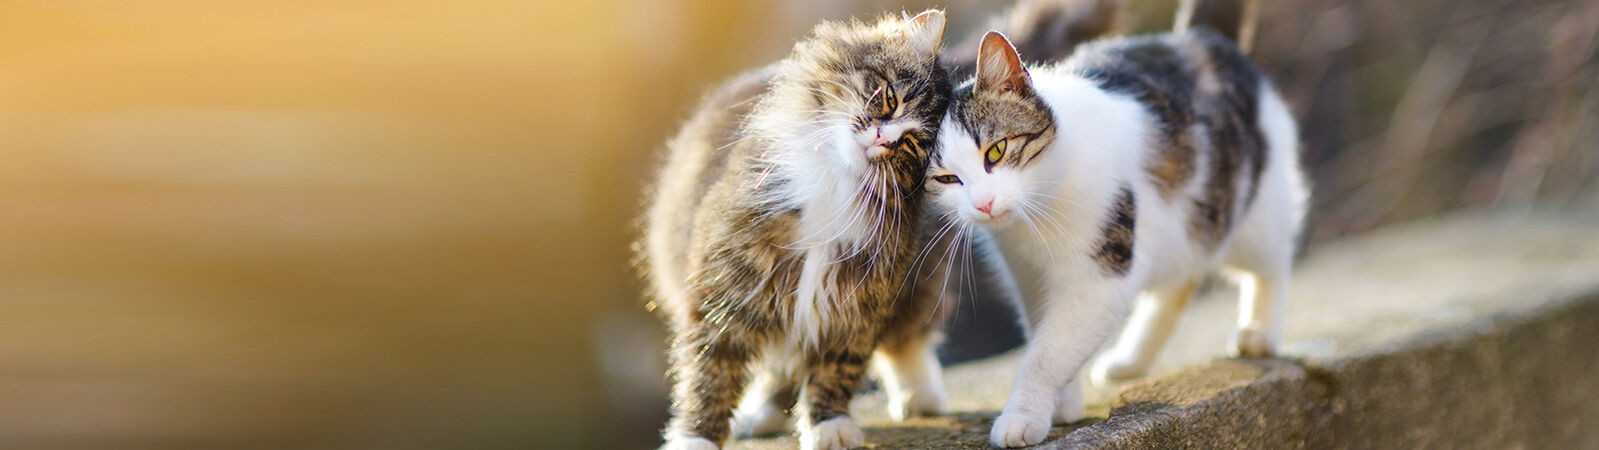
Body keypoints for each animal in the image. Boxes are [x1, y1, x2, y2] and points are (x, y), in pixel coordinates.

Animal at [639, 10, 953, 448]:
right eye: (891, 99)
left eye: (910, 144)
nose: (881, 138)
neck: (835, 183)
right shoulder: (728, 288)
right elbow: (710, 375)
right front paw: (696, 437)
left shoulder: (856, 302)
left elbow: (835, 370)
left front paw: (828, 425)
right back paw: (760, 415)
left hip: (919, 282)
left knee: (908, 340)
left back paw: (919, 394)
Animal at [927, 0, 1311, 445]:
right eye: (946, 179)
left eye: (996, 150)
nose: (984, 204)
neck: (1036, 215)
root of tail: (1196, 38)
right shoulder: (1028, 275)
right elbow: (1044, 333)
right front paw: (1062, 404)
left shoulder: (1099, 275)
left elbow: (1047, 353)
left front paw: (1023, 416)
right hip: (1179, 229)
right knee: (1180, 282)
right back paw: (1131, 360)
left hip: (1250, 209)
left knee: (1271, 260)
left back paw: (1259, 332)